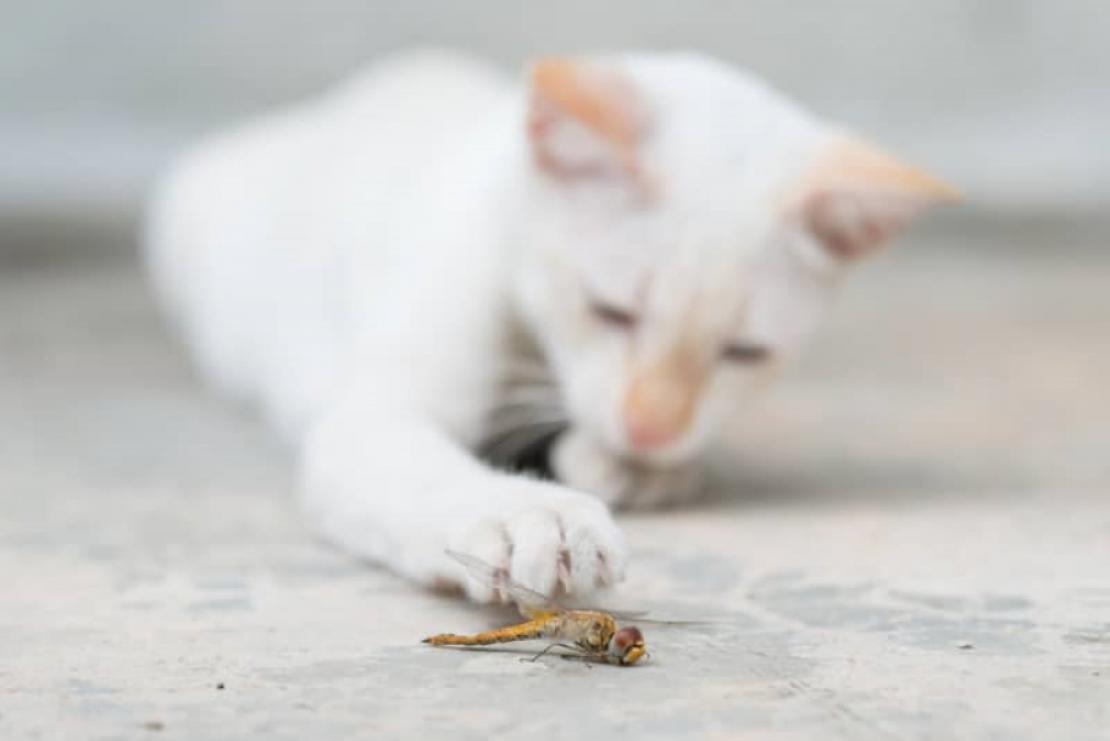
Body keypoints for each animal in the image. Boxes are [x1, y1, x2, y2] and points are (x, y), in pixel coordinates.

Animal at [145, 47, 954, 603]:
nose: (649, 430)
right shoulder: (374, 410)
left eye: (745, 352)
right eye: (611, 309)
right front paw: (524, 512)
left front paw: (636, 466)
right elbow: (419, 462)